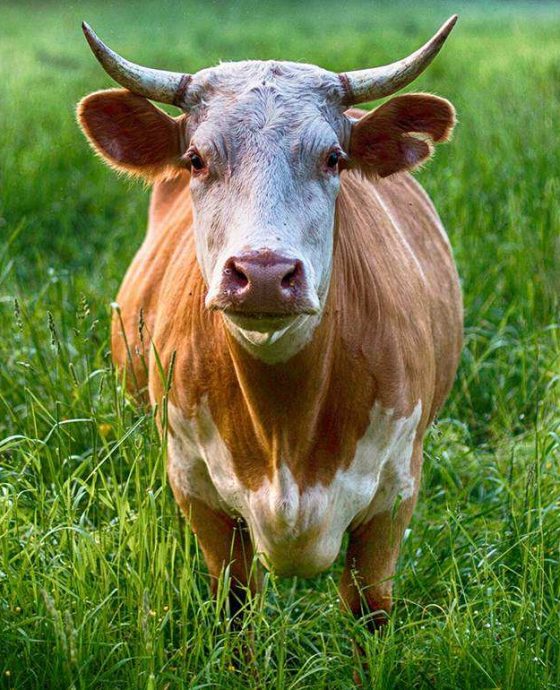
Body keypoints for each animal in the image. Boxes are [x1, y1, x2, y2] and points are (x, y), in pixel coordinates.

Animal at [77, 16, 463, 640]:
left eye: (333, 158)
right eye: (196, 159)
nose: (262, 274)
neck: (286, 423)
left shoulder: (394, 495)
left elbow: (369, 612)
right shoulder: (197, 491)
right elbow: (236, 609)